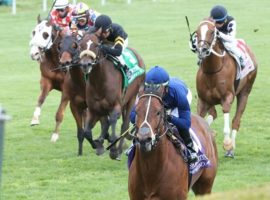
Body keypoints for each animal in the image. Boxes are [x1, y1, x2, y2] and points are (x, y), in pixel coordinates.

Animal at [194, 18, 258, 156]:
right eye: (197, 32)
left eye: (212, 32)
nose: (202, 50)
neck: (212, 70)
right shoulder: (202, 100)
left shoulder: (227, 97)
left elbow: (226, 117)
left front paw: (227, 143)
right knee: (214, 114)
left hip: (245, 92)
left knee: (236, 120)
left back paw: (231, 149)